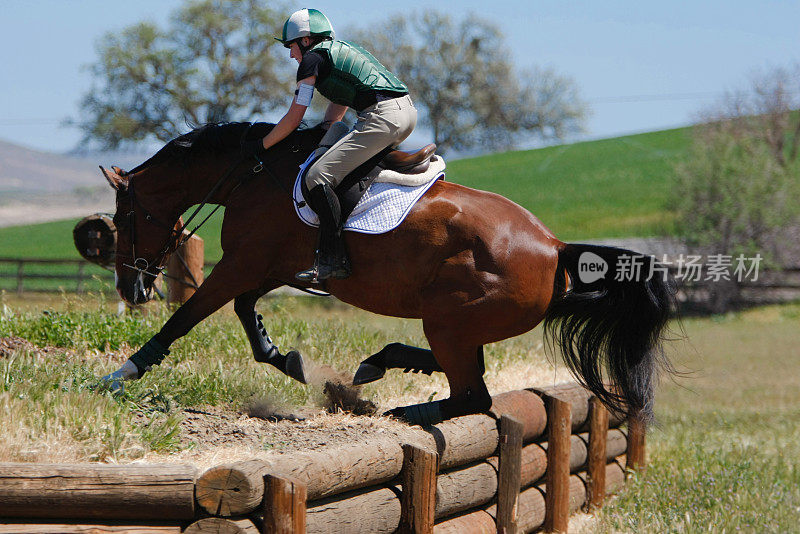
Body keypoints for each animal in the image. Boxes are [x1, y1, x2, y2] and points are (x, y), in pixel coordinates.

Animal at [98, 121, 676, 428]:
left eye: (124, 219)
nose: (132, 286)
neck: (251, 175)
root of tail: (554, 248)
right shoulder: (270, 266)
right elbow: (246, 313)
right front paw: (289, 361)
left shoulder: (243, 263)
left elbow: (185, 319)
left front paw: (118, 376)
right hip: (457, 319)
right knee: (468, 372)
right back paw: (376, 367)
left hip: (448, 315)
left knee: (472, 394)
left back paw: (404, 409)